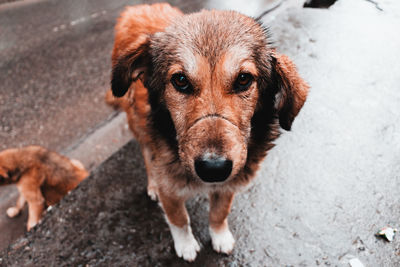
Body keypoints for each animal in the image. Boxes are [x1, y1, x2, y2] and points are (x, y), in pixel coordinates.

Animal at [107, 3, 310, 262]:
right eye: (180, 80)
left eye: (243, 79)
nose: (214, 169)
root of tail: (139, 7)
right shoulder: (170, 187)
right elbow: (179, 219)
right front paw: (185, 245)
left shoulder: (229, 184)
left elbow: (219, 214)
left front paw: (220, 237)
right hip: (138, 124)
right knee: (146, 154)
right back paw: (152, 185)